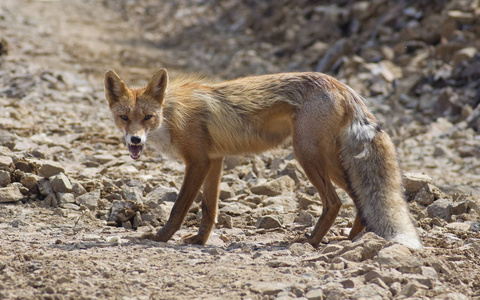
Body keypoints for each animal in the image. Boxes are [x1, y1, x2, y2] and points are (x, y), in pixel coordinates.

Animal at [103, 68, 422, 248]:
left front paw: (160, 238)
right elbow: (209, 209)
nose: (135, 140)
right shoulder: (214, 161)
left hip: (306, 155)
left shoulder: (198, 162)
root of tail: (339, 84)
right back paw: (352, 239)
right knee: (358, 198)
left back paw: (311, 241)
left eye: (148, 117)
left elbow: (178, 208)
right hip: (328, 161)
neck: (171, 117)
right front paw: (199, 241)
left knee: (334, 202)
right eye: (124, 118)